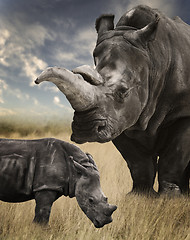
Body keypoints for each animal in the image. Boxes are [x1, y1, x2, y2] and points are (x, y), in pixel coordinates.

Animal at [35, 5, 190, 196]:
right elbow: (138, 162)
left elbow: (174, 156)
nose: (86, 129)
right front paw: (140, 196)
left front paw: (168, 197)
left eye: (123, 91)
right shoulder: (119, 120)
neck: (153, 60)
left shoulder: (184, 112)